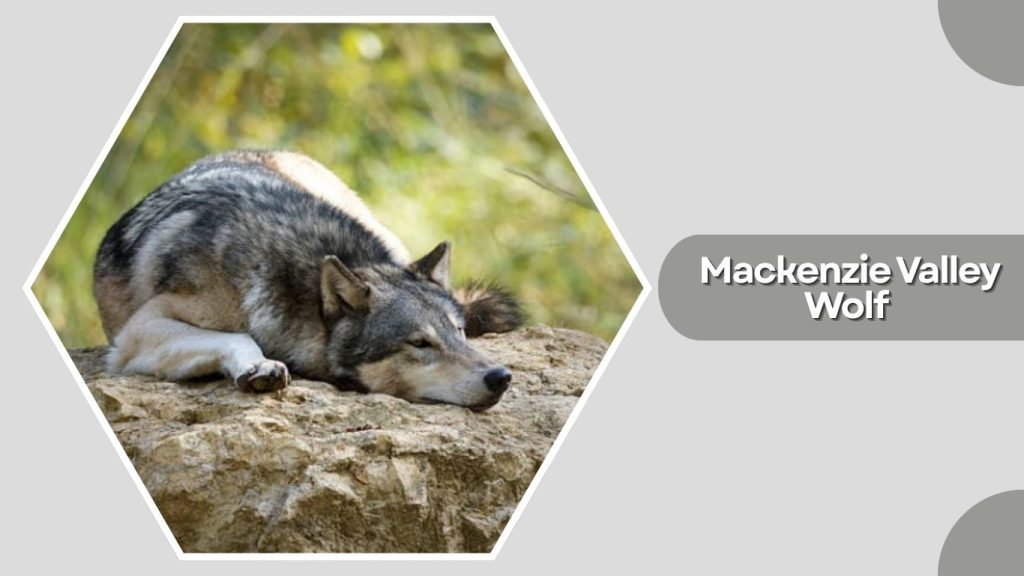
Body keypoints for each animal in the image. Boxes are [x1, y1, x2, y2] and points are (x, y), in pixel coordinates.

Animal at [93, 150, 524, 410]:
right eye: (419, 343)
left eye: (458, 332)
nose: (500, 377)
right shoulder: (138, 331)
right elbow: (239, 335)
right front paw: (260, 366)